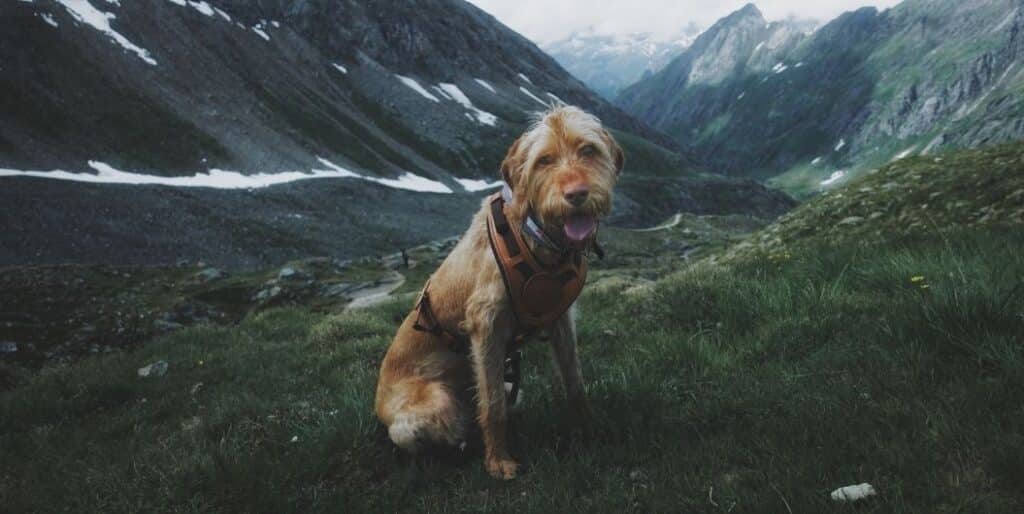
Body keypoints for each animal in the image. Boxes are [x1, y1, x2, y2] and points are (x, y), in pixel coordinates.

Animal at [372, 106, 618, 479]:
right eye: (544, 160)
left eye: (588, 149)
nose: (576, 195)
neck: (533, 235)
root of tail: (378, 403)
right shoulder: (485, 325)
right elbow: (492, 406)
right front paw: (498, 460)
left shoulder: (560, 320)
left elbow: (574, 381)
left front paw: (588, 428)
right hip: (425, 412)